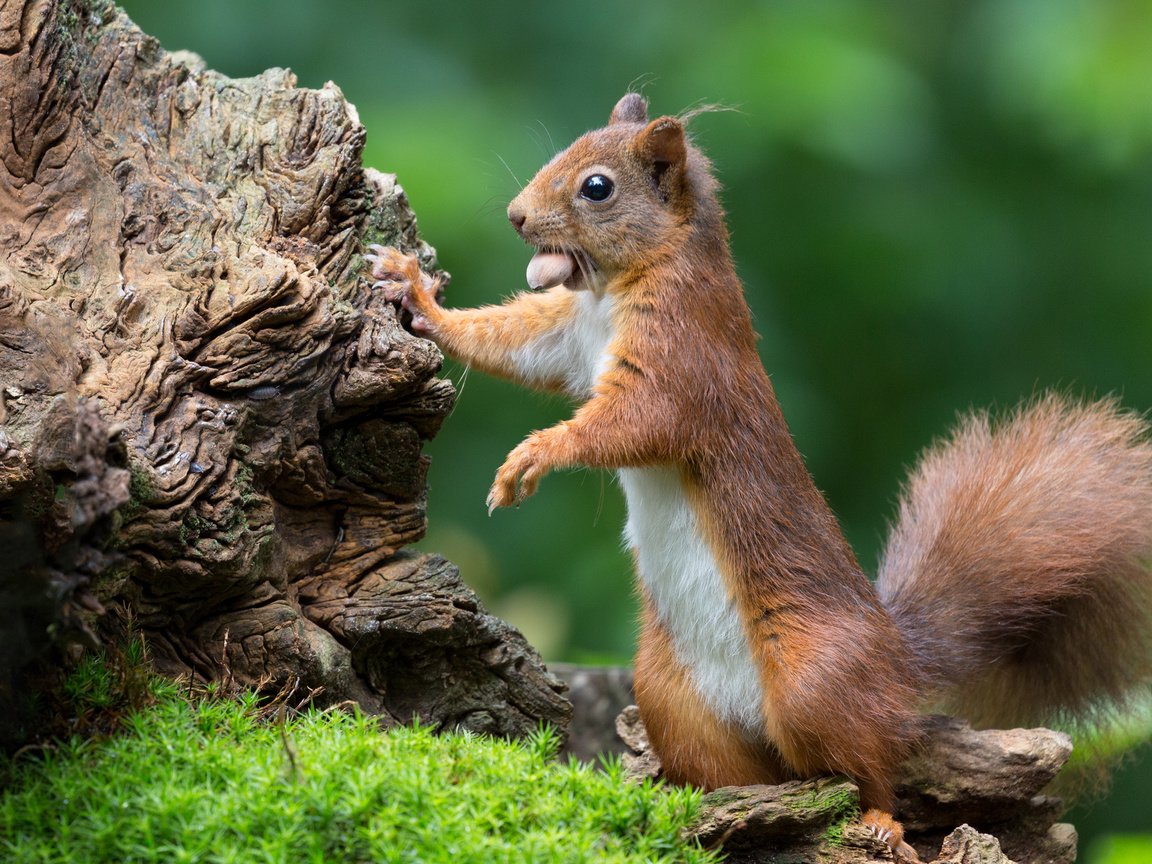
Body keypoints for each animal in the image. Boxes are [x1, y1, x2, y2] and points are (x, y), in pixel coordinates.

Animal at [366, 94, 1152, 861]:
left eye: (597, 187)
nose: (516, 216)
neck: (618, 289)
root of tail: (897, 660)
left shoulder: (683, 360)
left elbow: (630, 425)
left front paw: (532, 456)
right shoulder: (564, 336)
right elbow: (508, 342)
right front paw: (416, 295)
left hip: (813, 678)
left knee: (873, 764)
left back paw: (880, 821)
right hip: (670, 697)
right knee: (751, 771)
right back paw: (694, 805)